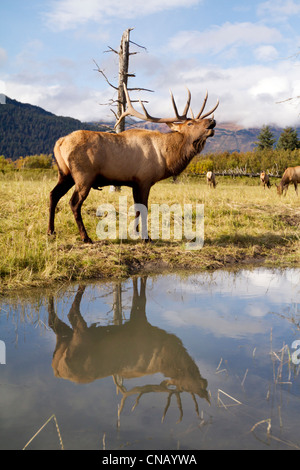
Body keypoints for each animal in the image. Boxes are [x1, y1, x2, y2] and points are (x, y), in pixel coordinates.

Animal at [48, 83, 219, 242]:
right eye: (190, 123)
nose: (212, 120)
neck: (165, 157)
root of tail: (59, 142)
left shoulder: (135, 182)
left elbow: (136, 208)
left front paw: (135, 233)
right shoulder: (144, 179)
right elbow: (144, 208)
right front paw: (146, 237)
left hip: (65, 174)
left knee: (53, 194)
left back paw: (51, 231)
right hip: (83, 175)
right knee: (74, 203)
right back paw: (85, 237)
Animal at [48, 278, 210, 420]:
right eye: (186, 384)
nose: (205, 387)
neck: (167, 353)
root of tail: (58, 370)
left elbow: (137, 287)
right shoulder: (140, 323)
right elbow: (141, 298)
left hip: (61, 342)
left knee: (53, 322)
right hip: (80, 339)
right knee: (72, 312)